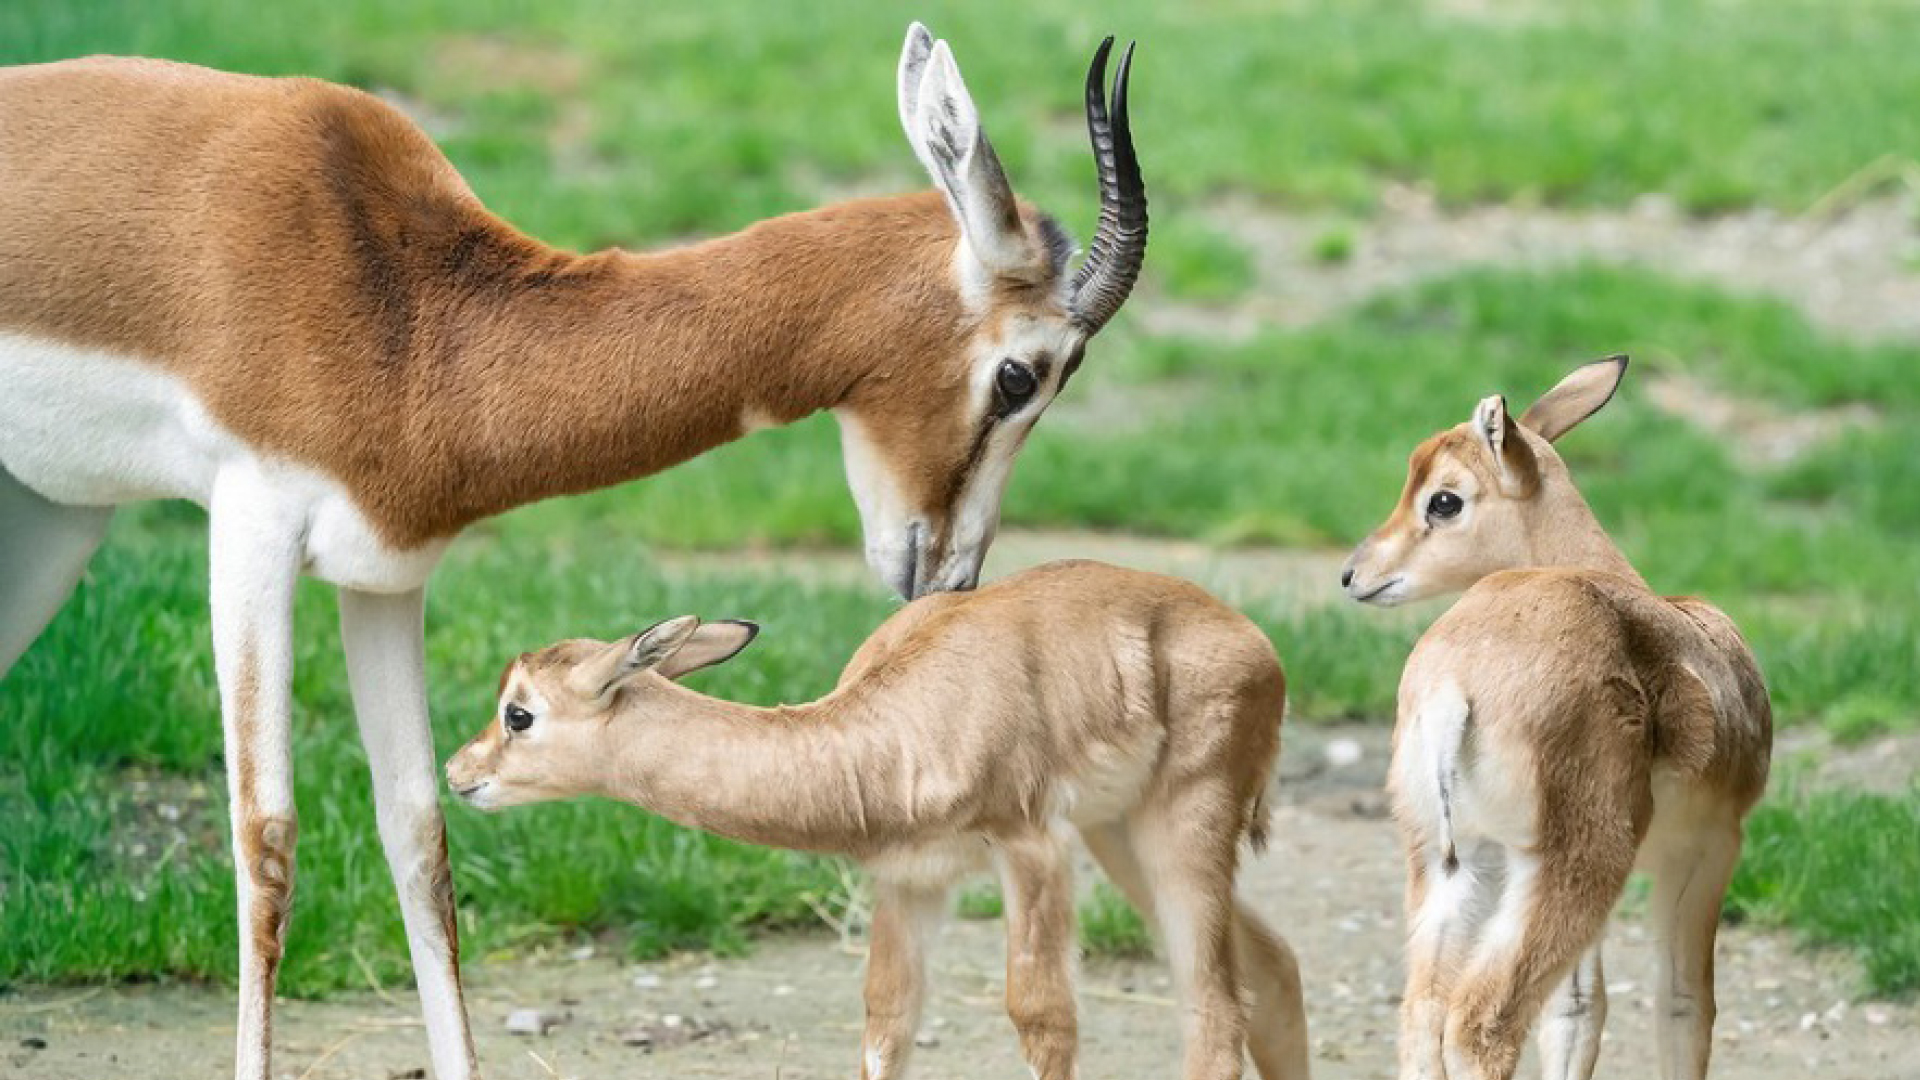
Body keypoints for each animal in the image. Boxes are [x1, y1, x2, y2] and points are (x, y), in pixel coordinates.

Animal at [443, 557, 1313, 1076]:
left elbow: (1043, 1017)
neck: (891, 729)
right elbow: (887, 1022)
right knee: (1271, 967)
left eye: (518, 713)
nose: (458, 773)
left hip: (1182, 823)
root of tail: (1255, 641)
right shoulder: (908, 881)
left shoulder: (1031, 850)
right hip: (1119, 834)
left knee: (1213, 1006)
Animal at [1351, 357, 1766, 1068]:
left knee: (1424, 1015)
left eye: (1443, 498)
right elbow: (1684, 1005)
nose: (1354, 574)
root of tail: (1455, 678)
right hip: (1573, 870)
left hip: (1457, 865)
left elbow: (1578, 1011)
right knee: (1480, 1023)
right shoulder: (1708, 851)